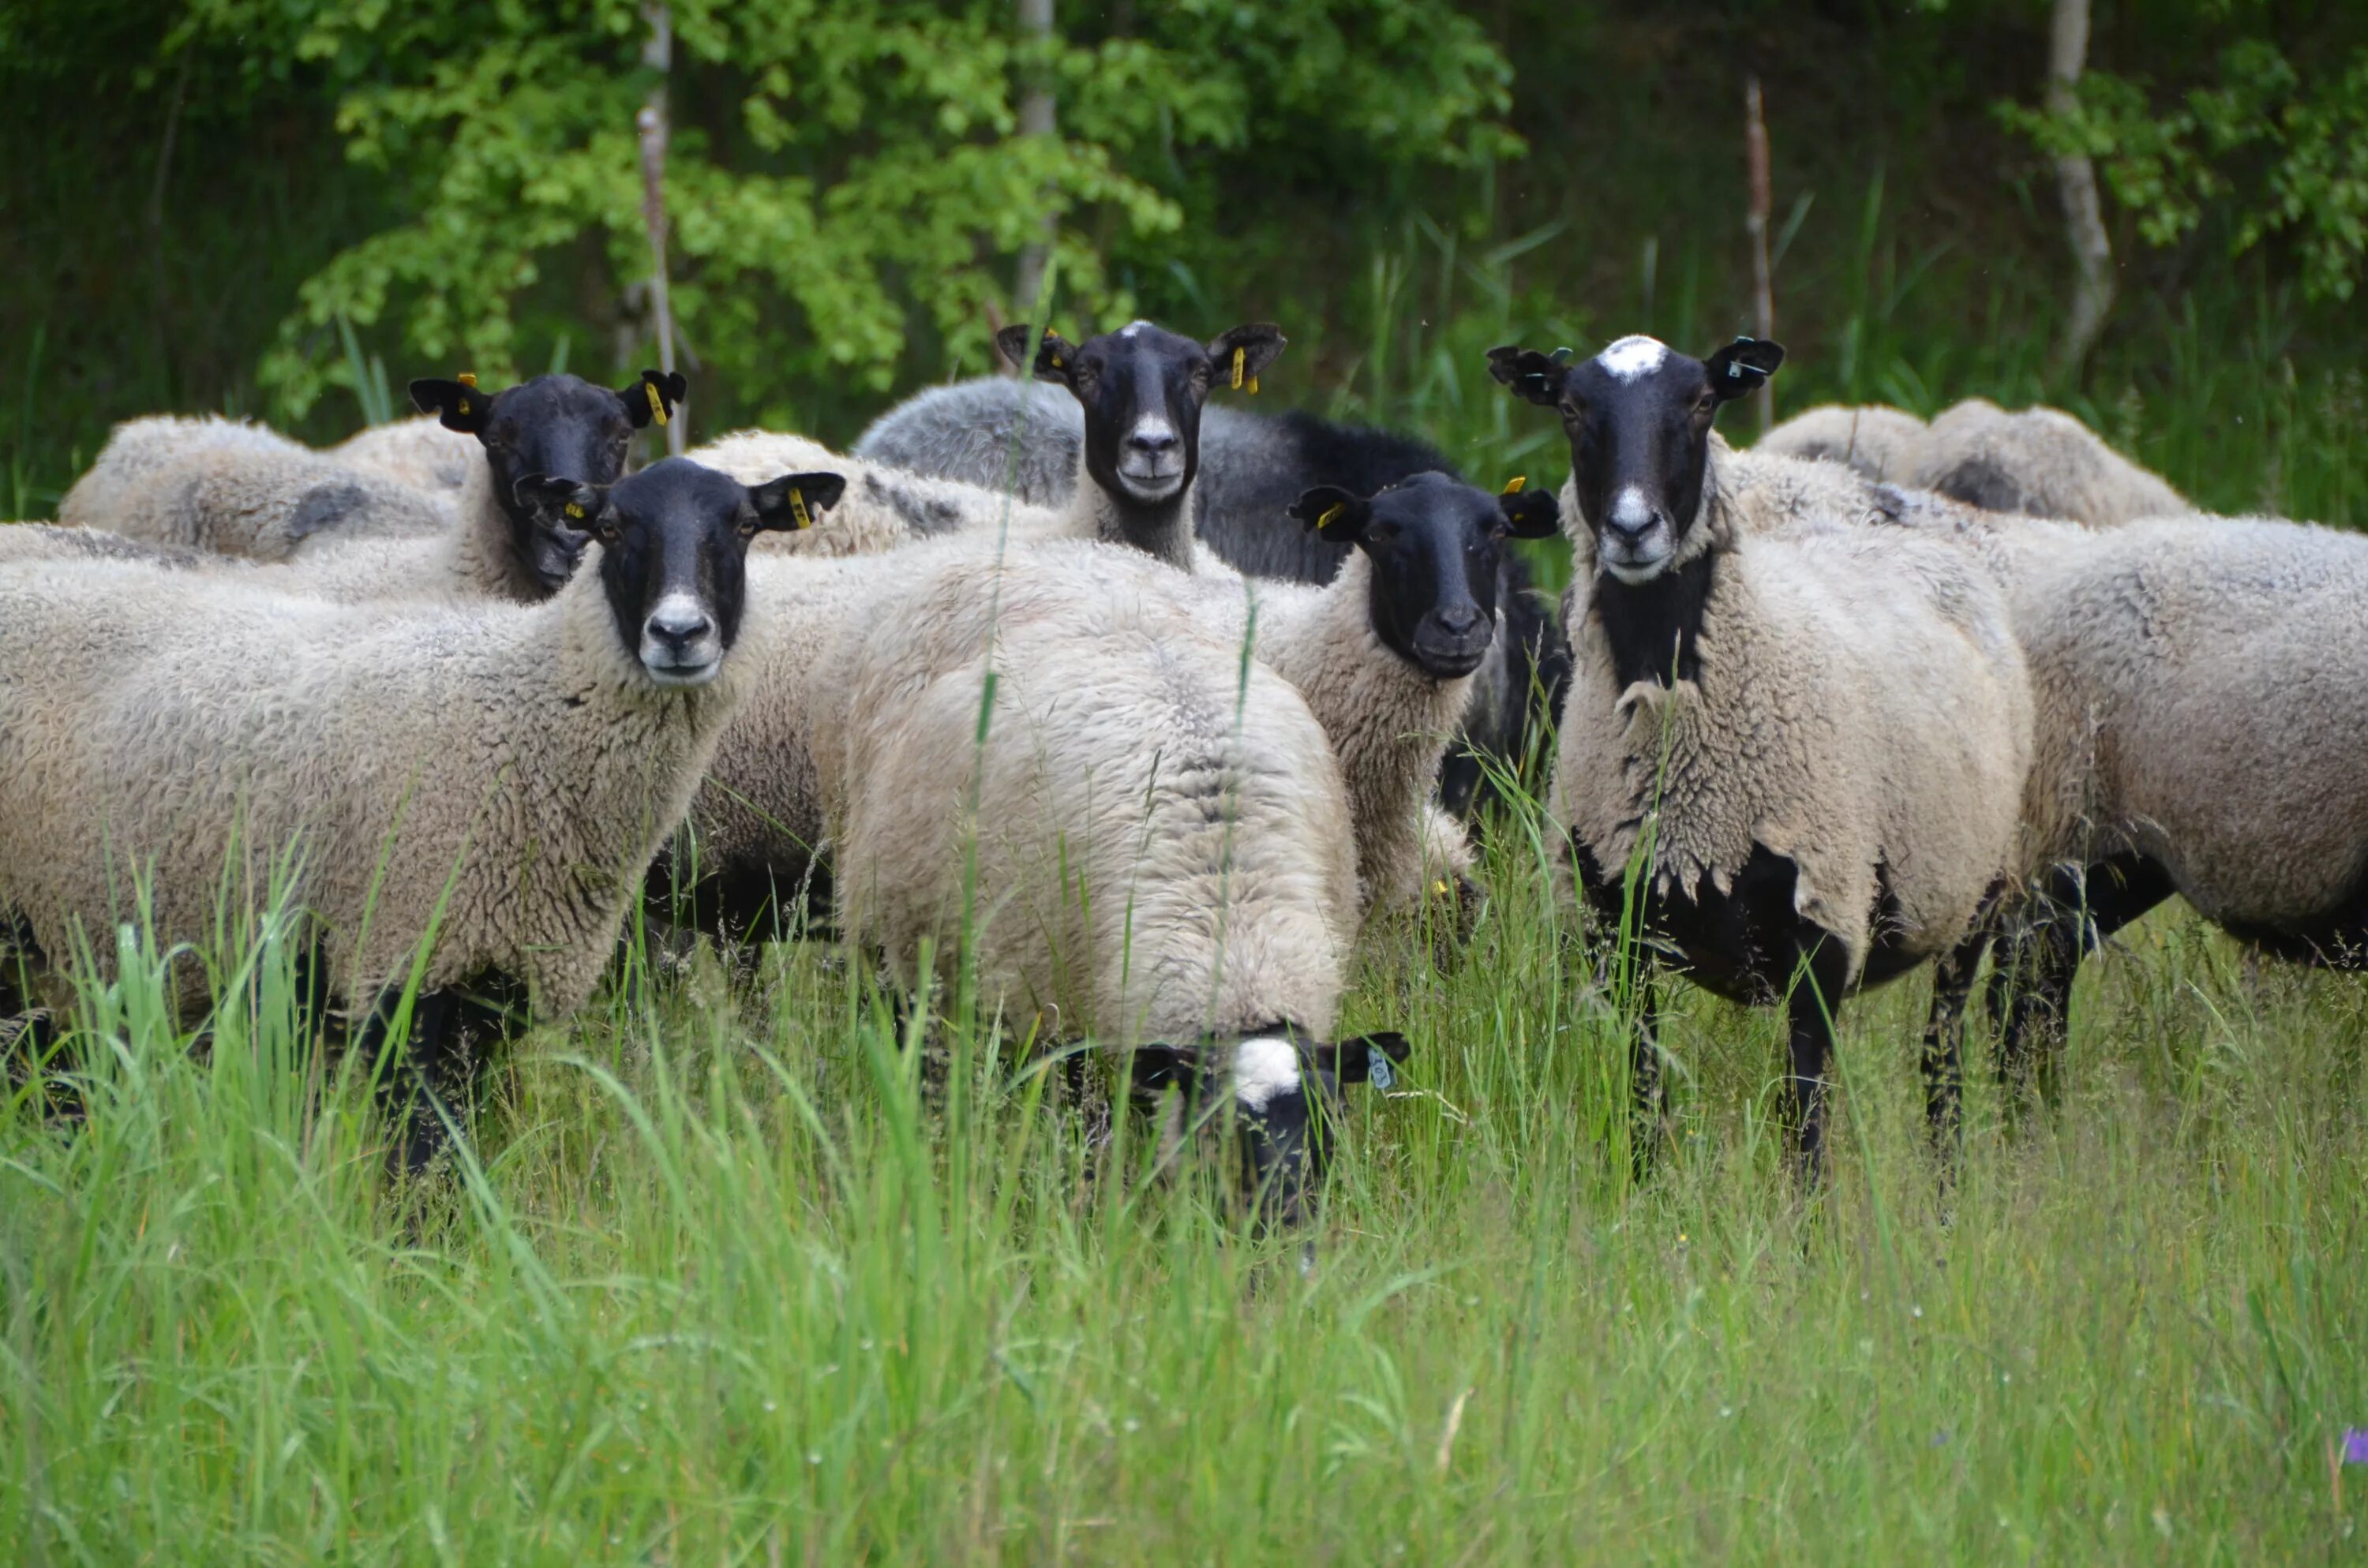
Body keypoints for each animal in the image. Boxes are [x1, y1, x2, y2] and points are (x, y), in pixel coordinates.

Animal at [0, 462, 843, 1174]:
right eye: (607, 527)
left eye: (745, 526)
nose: (678, 634)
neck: (524, 709)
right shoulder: (403, 963)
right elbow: (427, 1169)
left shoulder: (489, 987)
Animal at [815, 547, 1402, 1231]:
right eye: (1222, 1126)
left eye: (1326, 1121)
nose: (1287, 1235)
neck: (1230, 919)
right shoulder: (1056, 1016)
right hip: (897, 944)